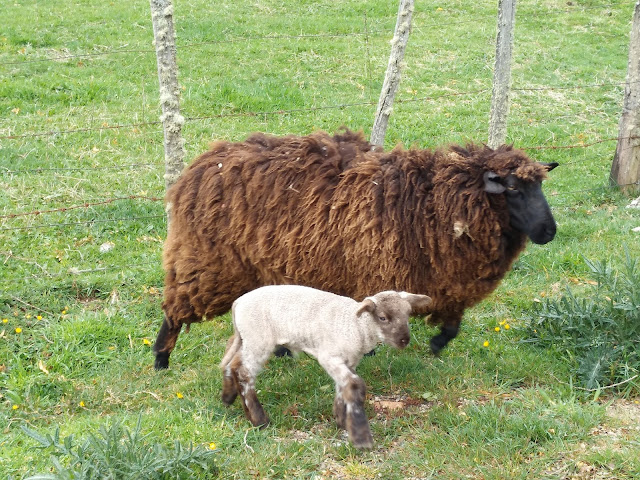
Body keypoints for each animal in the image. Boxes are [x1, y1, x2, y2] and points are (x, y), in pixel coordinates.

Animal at [152, 127, 556, 368]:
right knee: (175, 309)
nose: (549, 231)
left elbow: (453, 325)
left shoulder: (445, 282)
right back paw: (161, 359)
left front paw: (437, 344)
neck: (437, 202)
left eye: (540, 186)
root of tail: (203, 164)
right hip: (210, 262)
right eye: (513, 189)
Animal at [218, 284, 432, 446]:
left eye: (408, 314)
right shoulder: (329, 356)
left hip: (247, 338)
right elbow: (354, 385)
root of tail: (238, 303)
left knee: (232, 359)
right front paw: (359, 435)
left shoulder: (349, 361)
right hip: (259, 339)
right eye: (383, 317)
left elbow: (343, 387)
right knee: (244, 372)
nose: (404, 340)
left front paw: (340, 419)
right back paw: (259, 420)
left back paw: (228, 397)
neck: (356, 326)